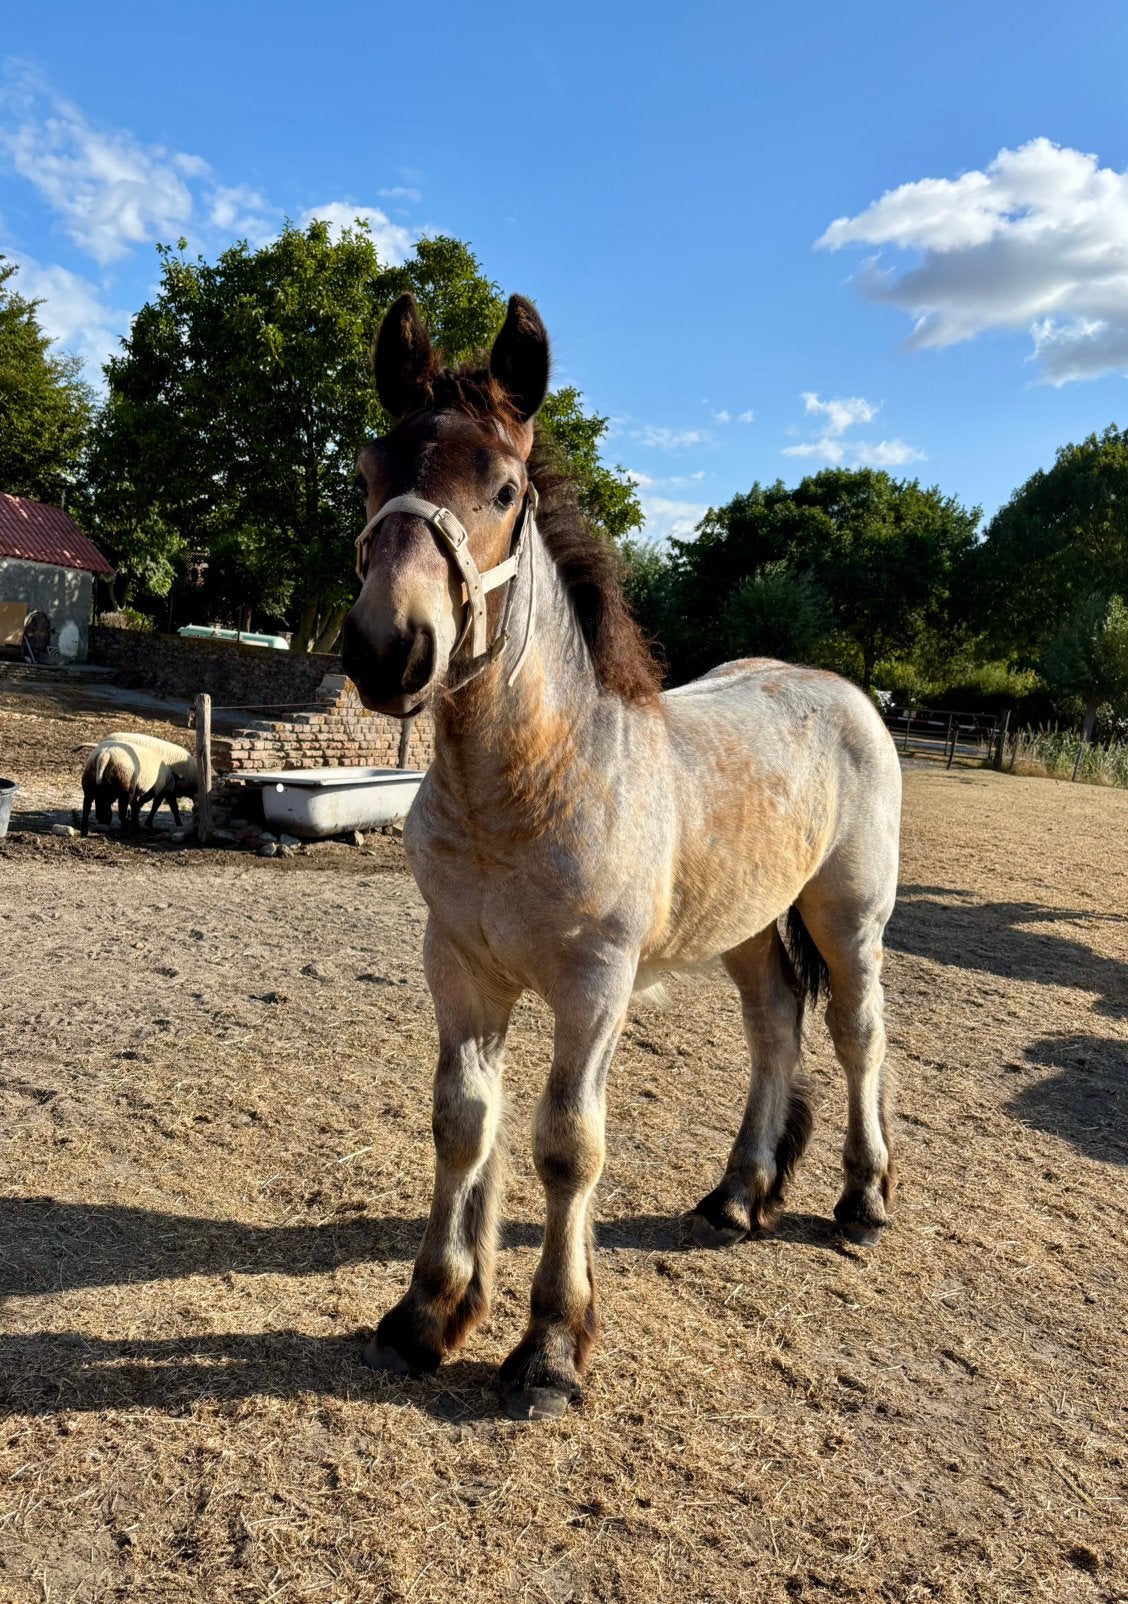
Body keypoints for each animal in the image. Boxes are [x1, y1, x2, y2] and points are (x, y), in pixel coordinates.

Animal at [341, 293, 902, 1421]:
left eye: (505, 488)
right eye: (372, 475)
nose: (389, 648)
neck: (528, 784)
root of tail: (842, 690)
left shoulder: (594, 984)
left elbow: (568, 1145)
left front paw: (551, 1349)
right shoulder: (459, 967)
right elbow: (462, 1122)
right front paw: (427, 1313)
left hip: (848, 915)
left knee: (858, 1034)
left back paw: (862, 1198)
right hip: (746, 928)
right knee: (776, 1027)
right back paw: (736, 1196)